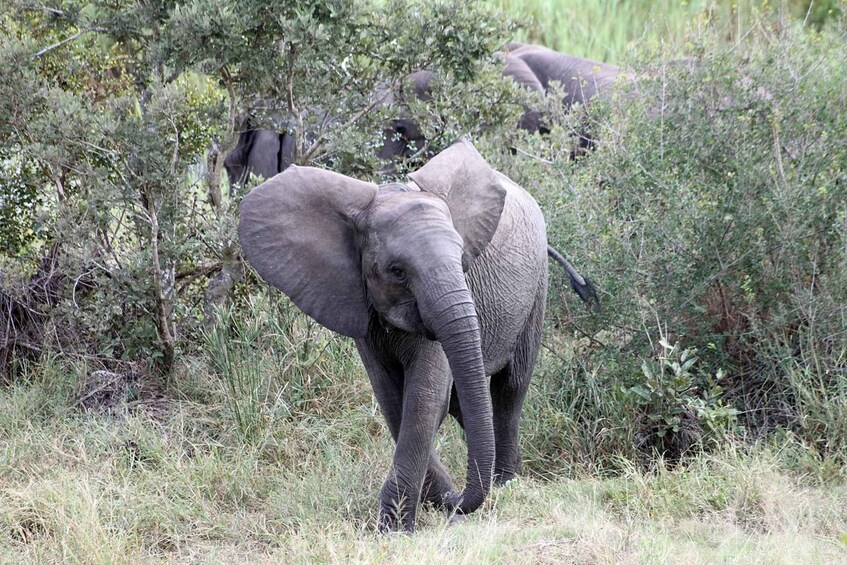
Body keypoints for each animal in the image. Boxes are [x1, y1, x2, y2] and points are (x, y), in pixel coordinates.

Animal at [238, 141, 552, 532]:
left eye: (463, 259)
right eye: (397, 271)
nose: (455, 505)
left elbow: (424, 399)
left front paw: (395, 525)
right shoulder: (359, 304)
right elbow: (393, 399)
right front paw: (404, 518)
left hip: (537, 287)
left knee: (510, 388)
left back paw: (503, 483)